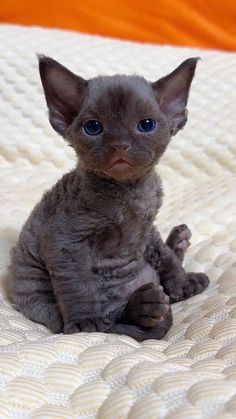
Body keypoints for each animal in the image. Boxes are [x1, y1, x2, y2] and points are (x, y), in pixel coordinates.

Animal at [6, 56, 208, 342]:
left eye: (146, 125)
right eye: (93, 127)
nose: (119, 144)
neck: (129, 193)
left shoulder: (147, 227)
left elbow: (164, 255)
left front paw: (181, 282)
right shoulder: (63, 242)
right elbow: (78, 285)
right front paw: (85, 321)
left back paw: (181, 250)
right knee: (116, 321)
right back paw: (145, 305)